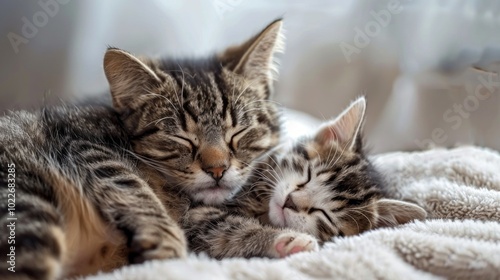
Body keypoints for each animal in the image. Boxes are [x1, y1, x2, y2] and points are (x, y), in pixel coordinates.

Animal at [0, 20, 286, 280]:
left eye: (238, 132)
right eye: (181, 137)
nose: (217, 169)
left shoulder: (198, 220)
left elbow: (223, 228)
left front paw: (282, 237)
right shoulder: (83, 142)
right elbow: (134, 187)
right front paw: (167, 242)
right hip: (27, 201)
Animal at [183, 97, 426, 260]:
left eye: (325, 214)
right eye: (308, 174)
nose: (290, 201)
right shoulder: (197, 209)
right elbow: (223, 226)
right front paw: (285, 240)